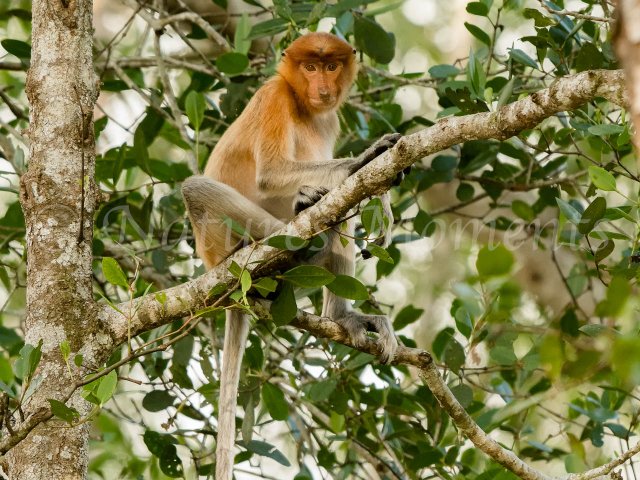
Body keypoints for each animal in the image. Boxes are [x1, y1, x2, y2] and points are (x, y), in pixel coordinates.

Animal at [181, 32, 399, 480]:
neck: (303, 107)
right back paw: (290, 234)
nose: (323, 88)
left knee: (337, 216)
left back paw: (340, 315)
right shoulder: (275, 96)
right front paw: (368, 159)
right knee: (198, 189)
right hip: (220, 247)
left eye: (331, 66)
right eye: (310, 67)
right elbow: (271, 173)